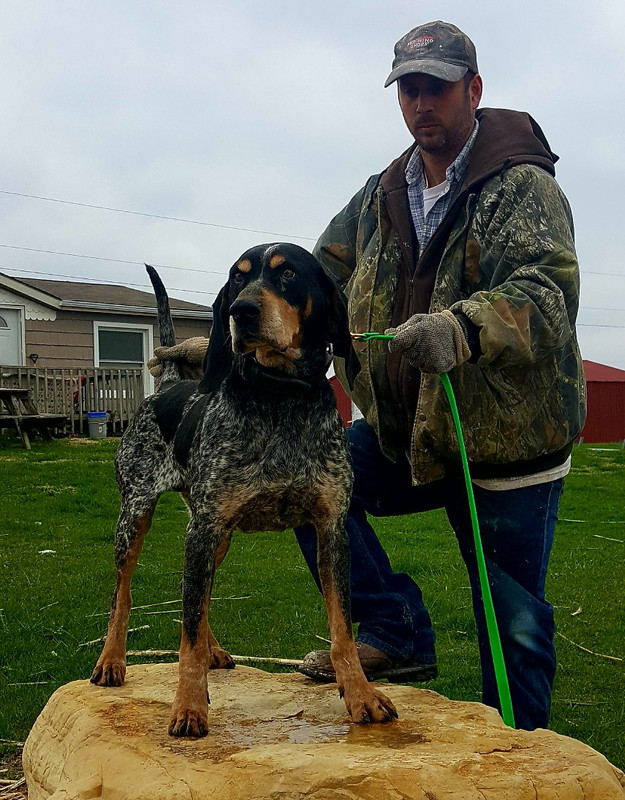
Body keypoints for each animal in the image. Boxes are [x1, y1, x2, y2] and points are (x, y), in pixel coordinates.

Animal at [91, 245, 394, 736]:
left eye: (287, 274)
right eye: (237, 278)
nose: (241, 311)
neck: (281, 399)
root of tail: (169, 385)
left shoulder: (331, 530)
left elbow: (342, 629)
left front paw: (361, 694)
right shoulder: (202, 529)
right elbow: (187, 634)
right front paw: (189, 706)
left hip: (216, 536)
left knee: (194, 596)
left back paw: (212, 649)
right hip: (140, 517)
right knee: (127, 593)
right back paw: (112, 660)